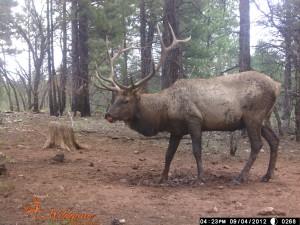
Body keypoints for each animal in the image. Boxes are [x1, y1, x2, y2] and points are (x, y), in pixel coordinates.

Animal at [95, 23, 280, 185]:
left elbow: (197, 151)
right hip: (265, 118)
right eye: (115, 99)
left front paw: (200, 178)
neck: (164, 111)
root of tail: (277, 86)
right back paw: (267, 175)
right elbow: (168, 154)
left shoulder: (194, 119)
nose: (108, 115)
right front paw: (162, 179)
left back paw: (240, 178)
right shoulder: (176, 130)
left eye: (126, 100)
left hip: (253, 116)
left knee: (257, 145)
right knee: (274, 140)